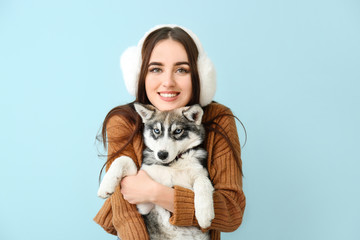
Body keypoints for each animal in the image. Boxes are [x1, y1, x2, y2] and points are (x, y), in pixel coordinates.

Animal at [97, 103, 214, 240]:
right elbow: (124, 159)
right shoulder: (145, 204)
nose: (162, 154)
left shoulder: (200, 172)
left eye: (178, 131)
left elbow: (202, 181)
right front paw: (106, 186)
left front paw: (205, 214)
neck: (172, 165)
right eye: (156, 131)